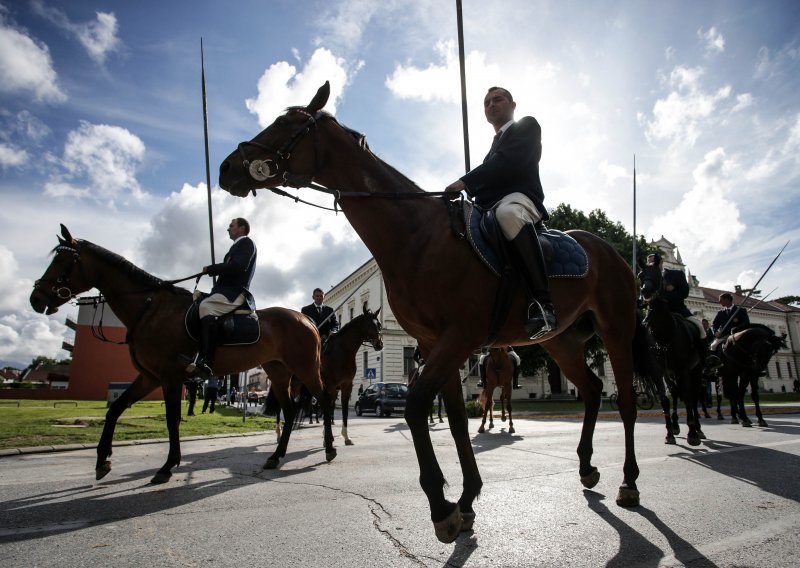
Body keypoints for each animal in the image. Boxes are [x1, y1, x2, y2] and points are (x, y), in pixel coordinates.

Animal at [29, 224, 336, 482]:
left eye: (62, 261)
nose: (35, 299)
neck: (150, 307)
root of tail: (307, 320)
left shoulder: (170, 376)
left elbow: (172, 418)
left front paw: (167, 466)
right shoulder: (150, 376)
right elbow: (115, 409)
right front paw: (103, 461)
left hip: (306, 368)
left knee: (324, 399)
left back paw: (330, 447)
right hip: (279, 372)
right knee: (290, 410)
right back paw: (276, 456)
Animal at [217, 82, 656, 544]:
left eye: (287, 123)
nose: (227, 168)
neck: (417, 234)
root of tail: (609, 251)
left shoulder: (457, 338)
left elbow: (414, 408)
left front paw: (441, 507)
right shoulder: (436, 343)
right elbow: (459, 420)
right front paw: (466, 500)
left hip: (616, 330)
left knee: (625, 402)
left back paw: (629, 481)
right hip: (562, 343)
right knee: (592, 389)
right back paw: (587, 466)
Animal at [636, 260, 708, 444]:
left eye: (657, 274)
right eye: (640, 275)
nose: (645, 293)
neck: (664, 332)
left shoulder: (683, 368)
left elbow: (688, 396)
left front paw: (692, 433)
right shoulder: (658, 371)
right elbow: (665, 399)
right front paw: (669, 432)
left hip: (695, 370)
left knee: (694, 395)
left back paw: (698, 429)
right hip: (671, 372)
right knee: (675, 392)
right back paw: (676, 426)